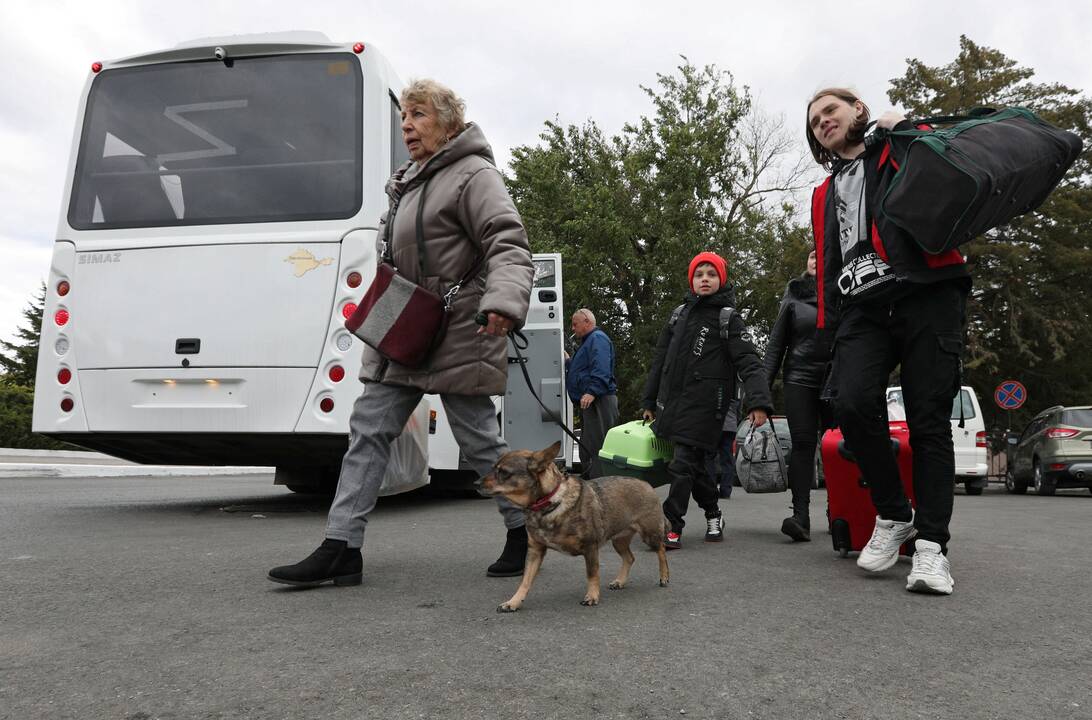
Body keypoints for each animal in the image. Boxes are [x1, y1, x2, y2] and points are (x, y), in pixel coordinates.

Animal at [480, 439, 672, 616]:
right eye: (493, 468)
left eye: (504, 472)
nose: (476, 482)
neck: (550, 502)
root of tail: (647, 484)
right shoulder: (535, 552)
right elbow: (525, 581)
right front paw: (513, 602)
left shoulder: (590, 548)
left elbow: (592, 574)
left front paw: (592, 596)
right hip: (619, 540)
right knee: (630, 558)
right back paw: (620, 581)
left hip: (649, 534)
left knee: (661, 550)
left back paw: (664, 576)